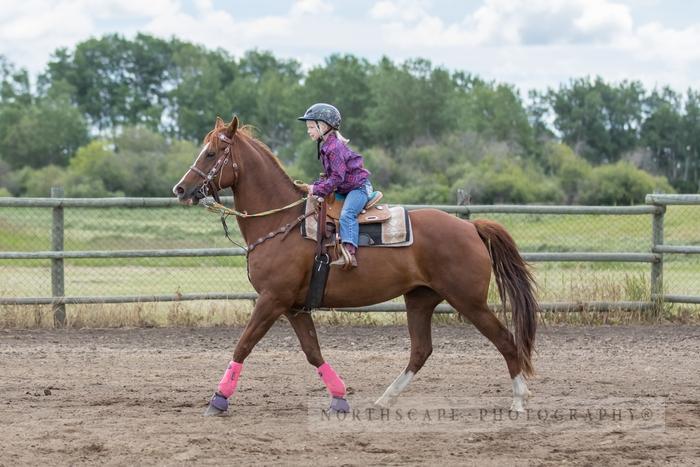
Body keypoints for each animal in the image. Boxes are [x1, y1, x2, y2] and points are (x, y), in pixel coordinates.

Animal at [174, 117, 536, 416]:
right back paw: (385, 399)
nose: (180, 189)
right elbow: (312, 352)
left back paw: (519, 400)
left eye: (211, 153)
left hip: (468, 300)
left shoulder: (272, 300)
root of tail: (470, 227)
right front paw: (339, 398)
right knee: (421, 350)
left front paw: (218, 400)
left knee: (505, 340)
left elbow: (244, 345)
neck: (281, 222)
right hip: (421, 299)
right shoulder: (294, 307)